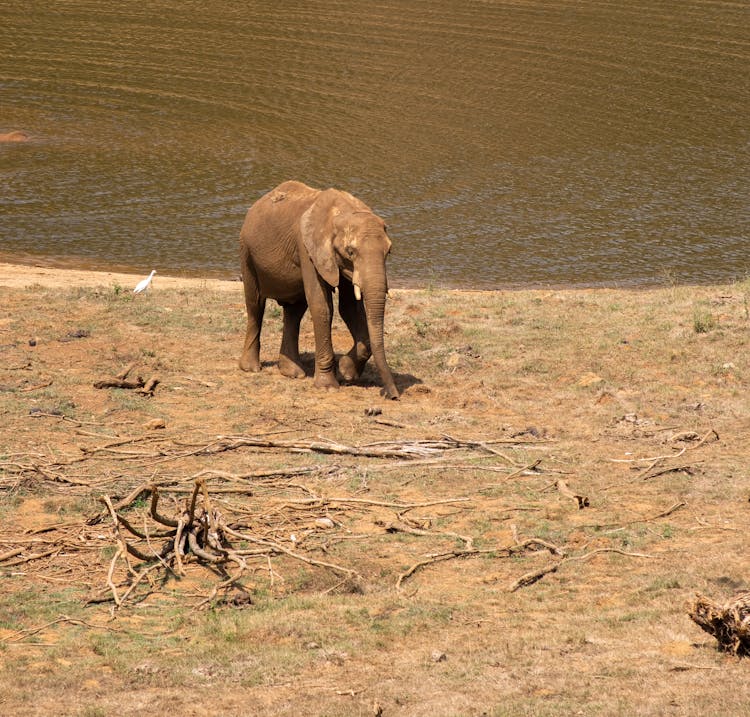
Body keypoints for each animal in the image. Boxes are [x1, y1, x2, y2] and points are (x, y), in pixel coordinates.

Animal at [239, 179, 406, 400]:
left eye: (389, 251)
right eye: (350, 252)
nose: (391, 395)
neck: (343, 212)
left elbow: (350, 309)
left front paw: (346, 372)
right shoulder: (308, 249)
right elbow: (322, 307)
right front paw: (328, 386)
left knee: (294, 311)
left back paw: (292, 372)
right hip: (246, 252)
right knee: (255, 304)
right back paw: (251, 368)